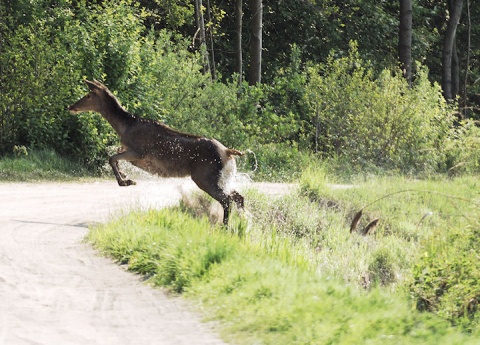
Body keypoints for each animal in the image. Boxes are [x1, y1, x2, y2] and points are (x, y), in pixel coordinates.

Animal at [67, 79, 244, 224]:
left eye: (89, 95)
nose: (71, 106)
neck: (123, 128)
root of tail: (228, 152)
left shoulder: (139, 153)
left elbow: (111, 158)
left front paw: (125, 181)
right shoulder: (128, 152)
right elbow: (115, 157)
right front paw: (125, 176)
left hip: (205, 176)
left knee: (227, 199)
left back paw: (226, 226)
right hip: (222, 177)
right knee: (238, 196)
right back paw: (243, 225)